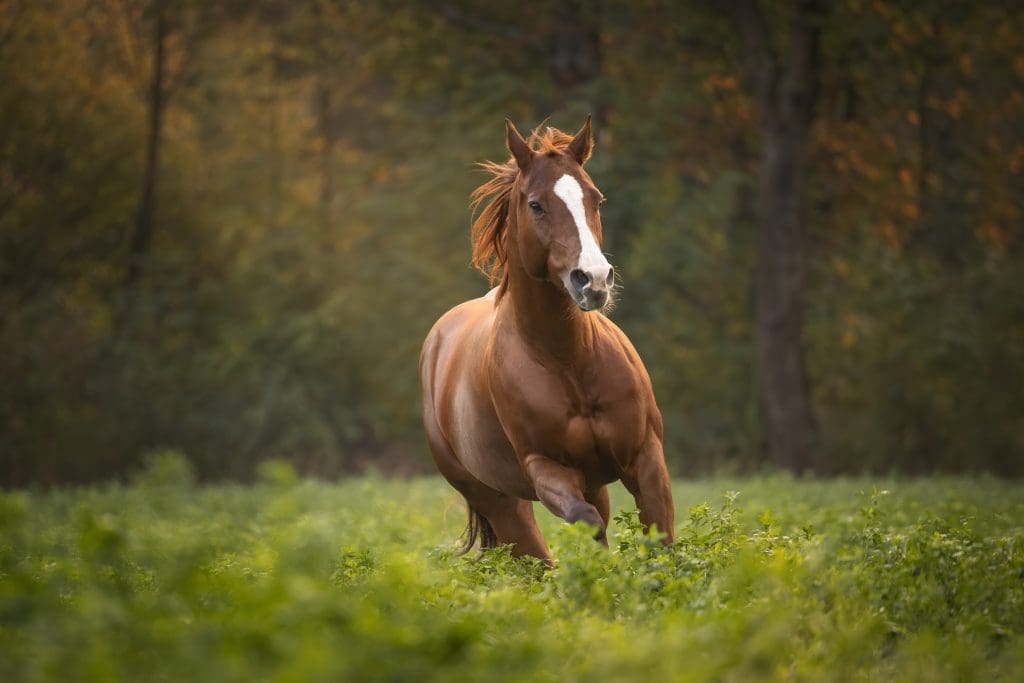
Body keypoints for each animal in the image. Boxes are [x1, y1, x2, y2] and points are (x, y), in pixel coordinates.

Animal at [419, 117, 674, 564]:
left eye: (595, 198)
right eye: (536, 204)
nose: (593, 279)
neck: (569, 360)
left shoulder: (645, 457)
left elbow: (660, 539)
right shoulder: (547, 470)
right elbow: (589, 523)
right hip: (500, 502)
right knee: (534, 556)